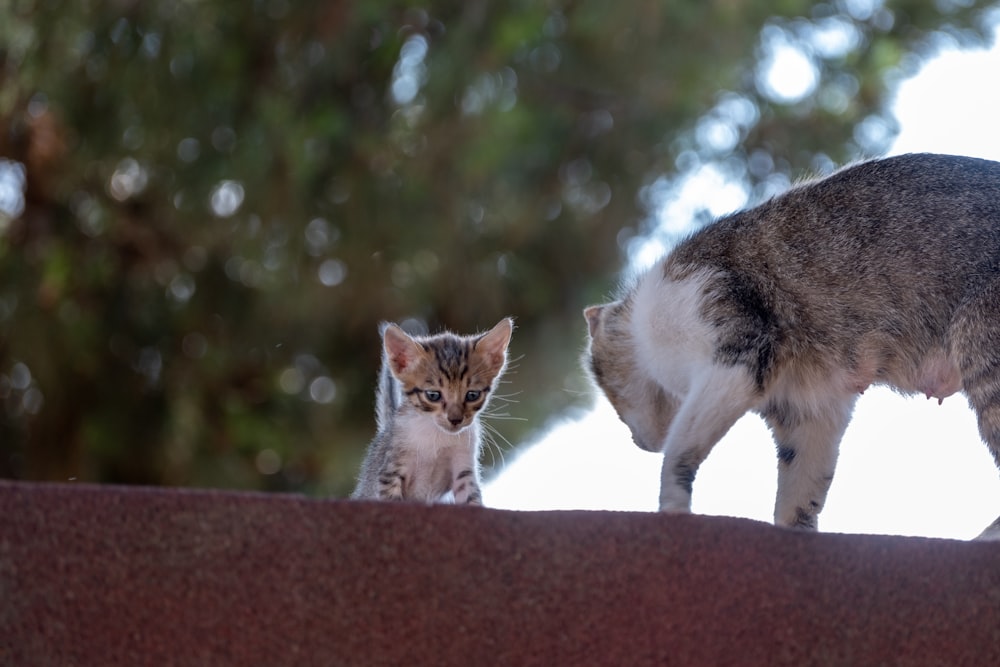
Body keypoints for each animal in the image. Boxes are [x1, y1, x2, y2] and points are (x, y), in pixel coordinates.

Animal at [352, 320, 512, 504]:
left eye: (472, 395)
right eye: (433, 395)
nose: (455, 419)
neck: (437, 437)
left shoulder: (463, 468)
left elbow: (471, 500)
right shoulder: (391, 471)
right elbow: (392, 500)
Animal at [584, 151, 1000, 536]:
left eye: (608, 394)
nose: (637, 441)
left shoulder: (737, 353)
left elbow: (681, 449)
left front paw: (672, 505)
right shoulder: (810, 411)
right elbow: (801, 486)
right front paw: (797, 532)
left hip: (978, 338)